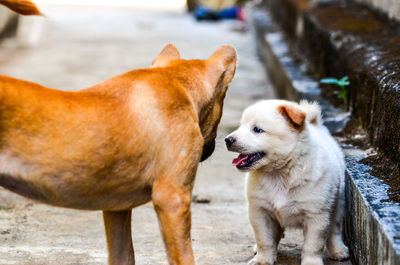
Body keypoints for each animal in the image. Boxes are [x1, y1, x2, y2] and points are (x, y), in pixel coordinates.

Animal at [227, 99, 348, 264]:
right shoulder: (260, 211)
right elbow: (264, 239)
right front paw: (263, 259)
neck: (279, 174)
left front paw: (311, 262)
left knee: (334, 230)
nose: (228, 140)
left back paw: (338, 250)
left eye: (257, 130)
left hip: (338, 204)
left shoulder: (316, 215)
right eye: (241, 126)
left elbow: (312, 245)